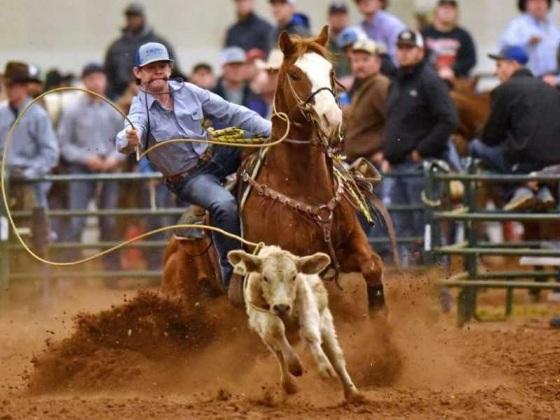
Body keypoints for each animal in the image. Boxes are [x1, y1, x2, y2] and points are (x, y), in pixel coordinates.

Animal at [228, 244, 364, 402]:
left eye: (293, 277)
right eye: (265, 278)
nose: (281, 307)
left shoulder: (307, 307)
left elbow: (310, 334)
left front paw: (325, 367)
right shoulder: (261, 315)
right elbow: (277, 330)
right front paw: (294, 365)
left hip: (325, 323)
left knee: (336, 358)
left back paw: (352, 393)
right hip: (266, 338)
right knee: (278, 353)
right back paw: (289, 383)